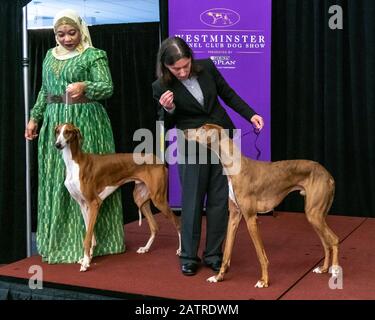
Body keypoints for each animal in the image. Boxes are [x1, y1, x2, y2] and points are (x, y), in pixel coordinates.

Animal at [54, 122, 182, 270]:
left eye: (67, 132)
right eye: (57, 131)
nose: (57, 144)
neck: (75, 162)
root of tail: (160, 161)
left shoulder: (94, 203)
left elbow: (87, 237)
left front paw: (86, 262)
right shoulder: (83, 205)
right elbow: (90, 234)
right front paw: (89, 257)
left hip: (159, 199)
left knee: (177, 222)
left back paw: (180, 250)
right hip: (140, 199)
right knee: (155, 226)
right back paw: (145, 248)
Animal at [187, 124, 342, 288]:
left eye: (201, 129)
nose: (184, 131)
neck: (235, 167)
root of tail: (329, 175)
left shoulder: (251, 218)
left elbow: (261, 255)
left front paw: (264, 281)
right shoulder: (234, 216)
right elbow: (227, 253)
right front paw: (218, 277)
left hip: (314, 215)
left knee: (334, 239)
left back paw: (335, 271)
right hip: (315, 216)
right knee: (326, 243)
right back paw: (323, 268)